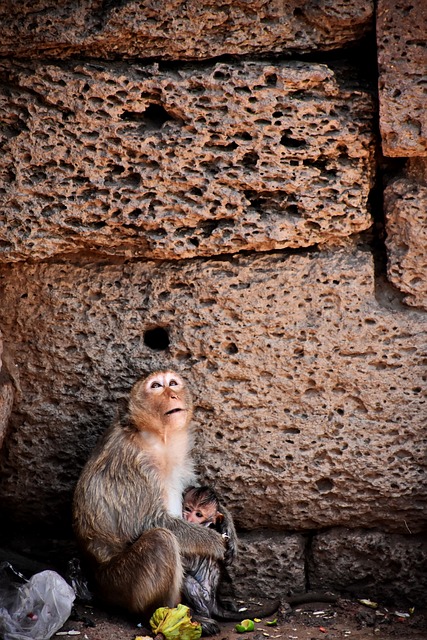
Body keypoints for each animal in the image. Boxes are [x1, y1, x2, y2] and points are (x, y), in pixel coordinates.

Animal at [72, 368, 237, 632]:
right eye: (157, 386)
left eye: (173, 383)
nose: (172, 395)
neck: (159, 438)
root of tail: (96, 583)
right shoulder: (132, 462)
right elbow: (146, 523)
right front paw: (212, 541)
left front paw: (226, 522)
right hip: (118, 582)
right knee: (161, 540)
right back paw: (163, 615)